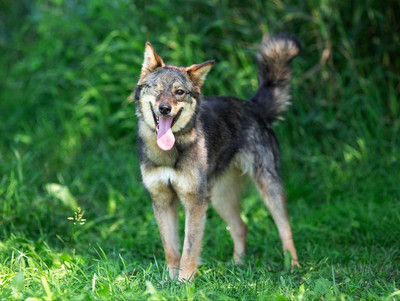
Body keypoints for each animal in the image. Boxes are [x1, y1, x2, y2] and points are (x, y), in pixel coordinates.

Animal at [134, 34, 300, 280]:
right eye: (155, 89)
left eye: (179, 92)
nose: (164, 109)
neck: (171, 153)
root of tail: (253, 106)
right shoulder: (162, 200)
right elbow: (171, 250)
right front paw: (167, 281)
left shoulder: (194, 203)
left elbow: (189, 251)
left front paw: (184, 282)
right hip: (219, 198)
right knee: (241, 227)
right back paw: (237, 266)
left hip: (268, 190)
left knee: (286, 229)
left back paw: (294, 267)